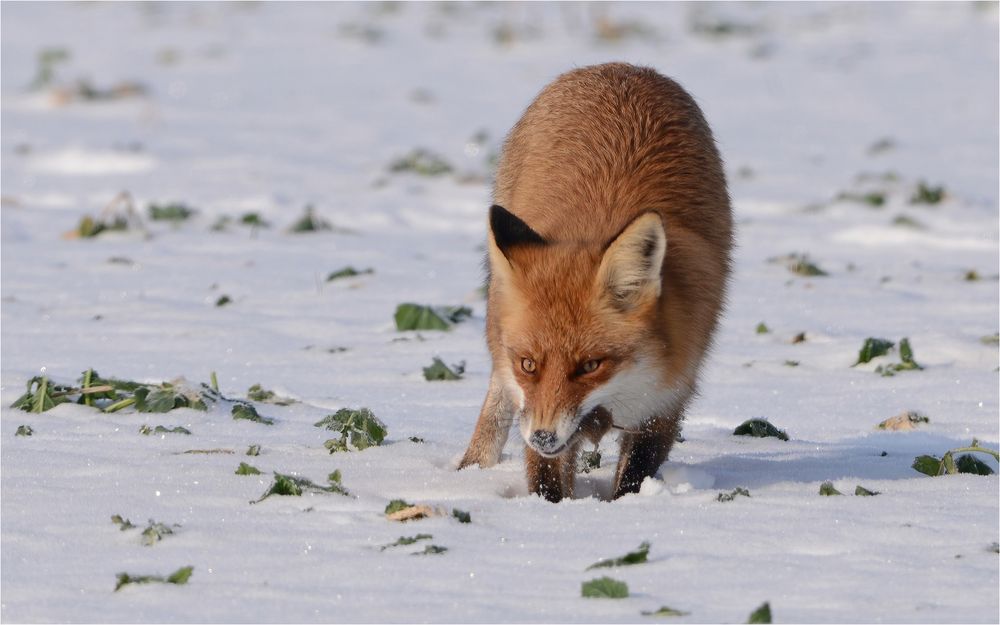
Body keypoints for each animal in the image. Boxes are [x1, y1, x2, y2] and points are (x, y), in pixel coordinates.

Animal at [458, 62, 732, 502]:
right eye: (529, 364)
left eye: (590, 366)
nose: (543, 436)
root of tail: (622, 66)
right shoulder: (529, 402)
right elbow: (547, 481)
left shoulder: (668, 396)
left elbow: (634, 477)